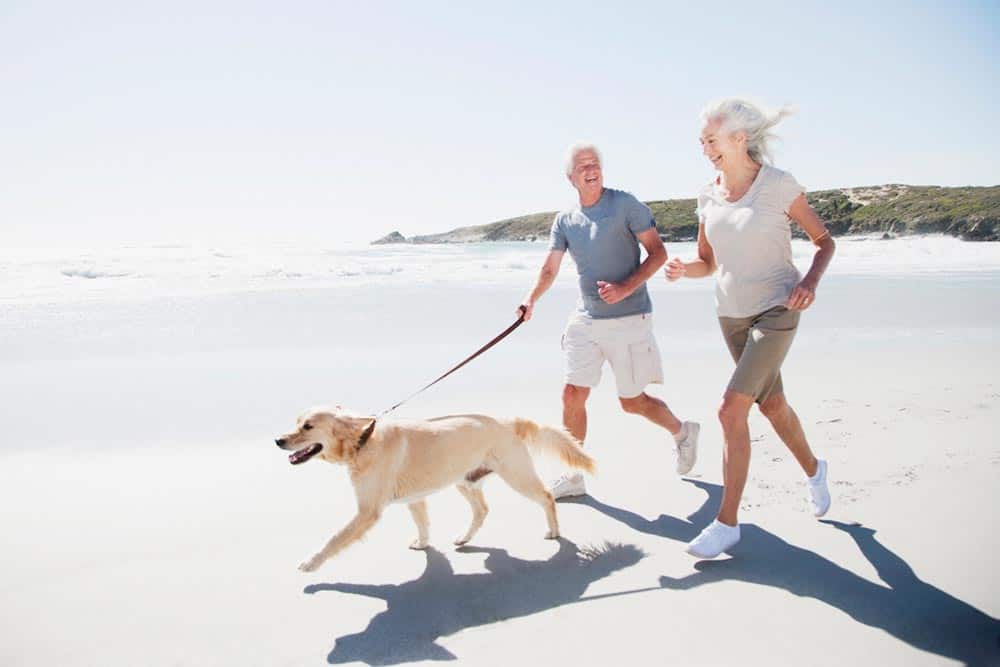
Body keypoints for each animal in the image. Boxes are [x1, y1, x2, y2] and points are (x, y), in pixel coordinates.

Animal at [274, 408, 592, 576]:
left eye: (308, 426)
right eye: (296, 422)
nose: (278, 440)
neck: (363, 442)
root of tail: (508, 421)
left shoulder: (367, 511)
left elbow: (334, 539)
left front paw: (311, 562)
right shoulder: (413, 498)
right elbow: (423, 523)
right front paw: (423, 543)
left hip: (517, 476)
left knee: (546, 497)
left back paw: (554, 531)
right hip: (465, 480)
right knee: (482, 510)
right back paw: (465, 538)